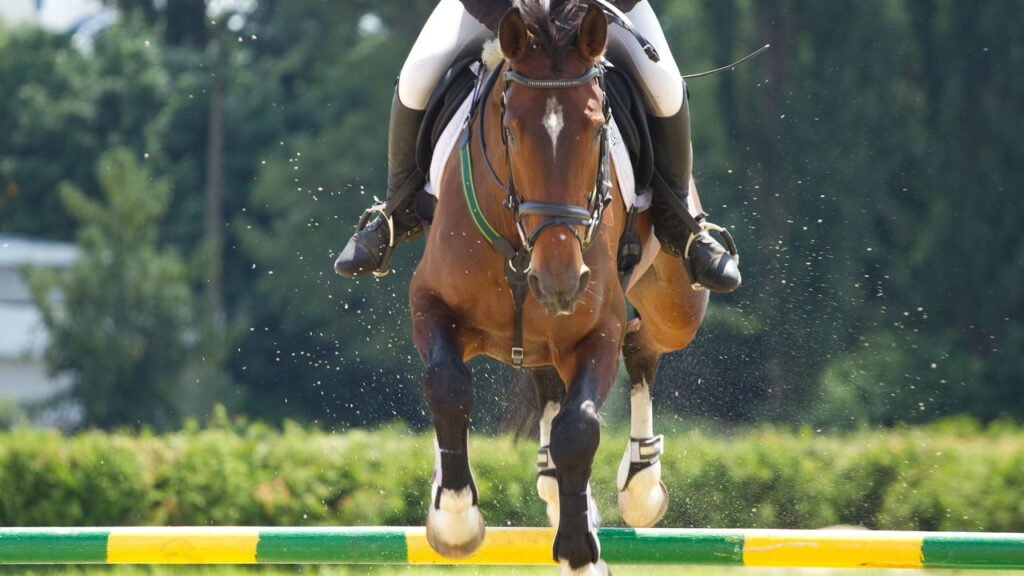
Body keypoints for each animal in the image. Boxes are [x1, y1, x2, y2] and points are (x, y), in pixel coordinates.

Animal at [408, 3, 708, 575]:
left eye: (596, 130)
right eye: (510, 130)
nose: (560, 282)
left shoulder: (597, 330)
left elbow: (580, 426)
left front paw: (578, 550)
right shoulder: (430, 304)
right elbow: (446, 385)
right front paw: (454, 518)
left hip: (677, 305)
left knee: (643, 347)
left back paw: (639, 484)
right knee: (545, 385)